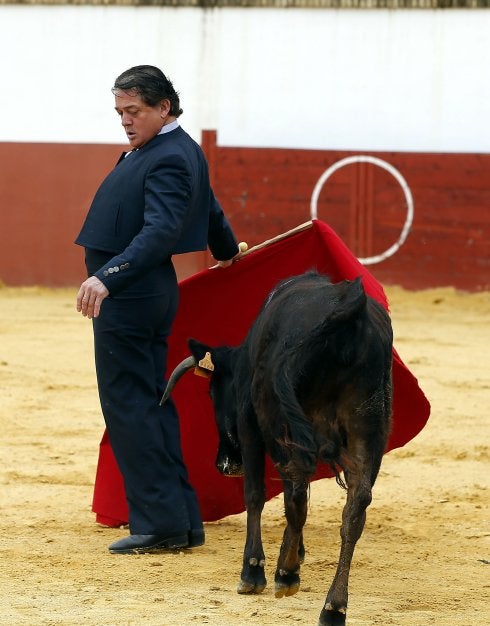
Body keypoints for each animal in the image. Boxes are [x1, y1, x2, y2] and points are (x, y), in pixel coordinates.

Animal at [163, 272, 392, 624]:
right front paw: (295, 552)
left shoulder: (251, 426)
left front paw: (254, 571)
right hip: (367, 428)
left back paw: (286, 574)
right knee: (355, 507)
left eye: (213, 393)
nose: (225, 465)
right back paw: (334, 606)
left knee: (297, 494)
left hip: (285, 421)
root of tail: (350, 308)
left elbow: (257, 494)